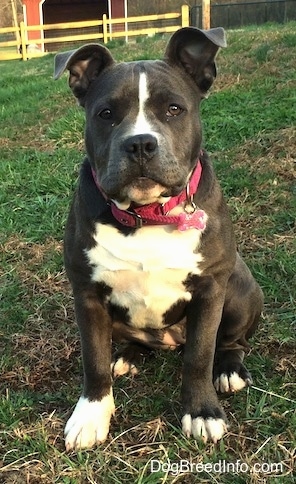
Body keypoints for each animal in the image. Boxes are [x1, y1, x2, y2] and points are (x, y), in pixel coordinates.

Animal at [53, 25, 264, 450]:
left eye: (174, 109)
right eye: (106, 114)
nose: (139, 143)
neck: (147, 216)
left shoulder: (210, 289)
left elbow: (199, 355)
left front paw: (202, 412)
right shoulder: (87, 294)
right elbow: (93, 360)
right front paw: (90, 416)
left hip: (239, 291)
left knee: (230, 342)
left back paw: (229, 370)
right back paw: (129, 357)